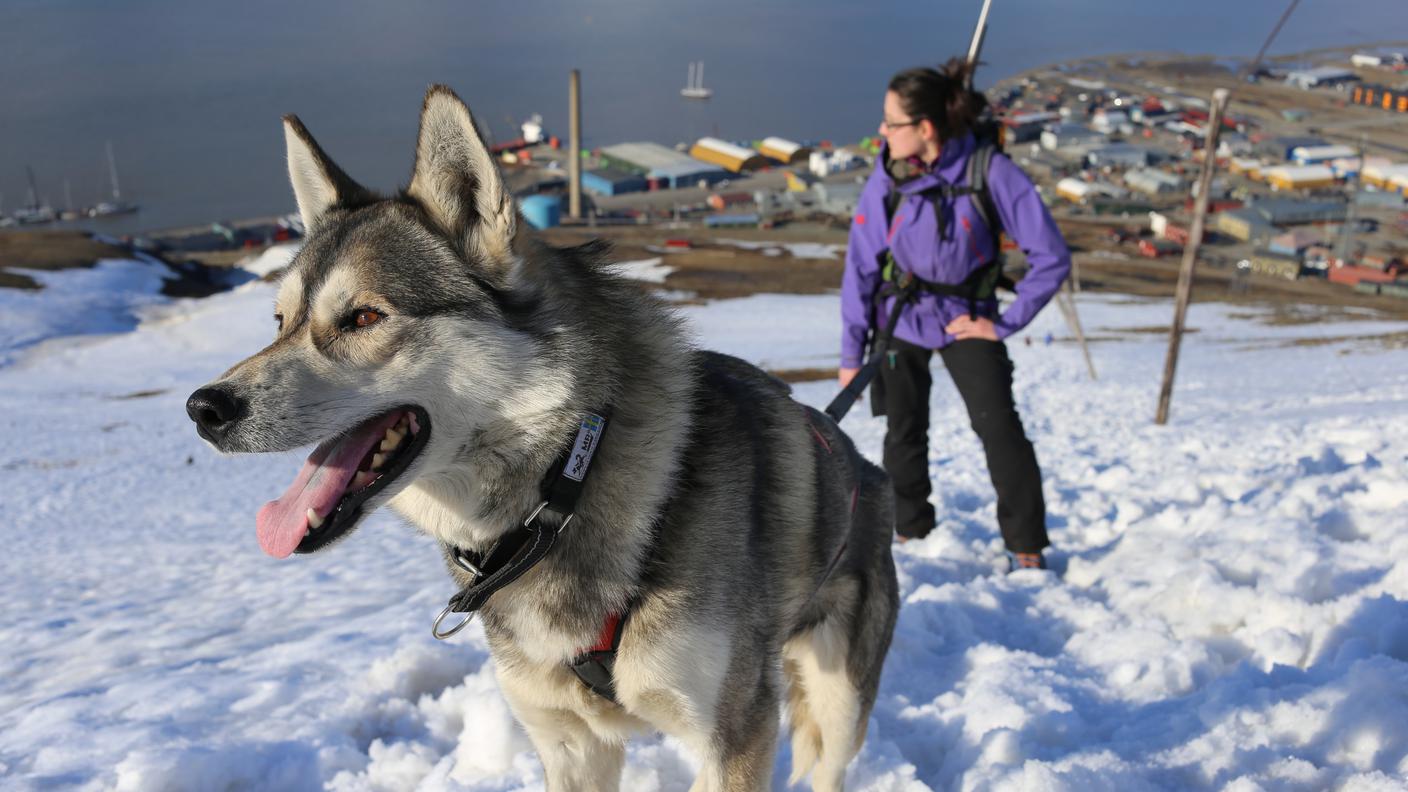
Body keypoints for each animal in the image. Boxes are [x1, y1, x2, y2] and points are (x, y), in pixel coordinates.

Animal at [187, 84, 895, 789]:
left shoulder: (736, 736)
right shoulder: (568, 742)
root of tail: (867, 470)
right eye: (280, 320)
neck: (563, 489)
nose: (203, 408)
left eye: (363, 317)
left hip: (840, 707)